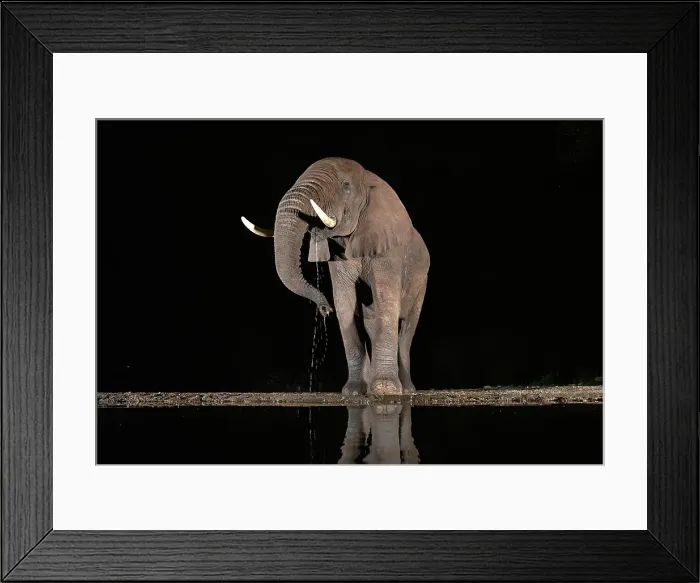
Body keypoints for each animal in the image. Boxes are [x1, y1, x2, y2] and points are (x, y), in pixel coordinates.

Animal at [241, 157, 429, 396]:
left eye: (346, 186)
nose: (324, 309)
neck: (370, 179)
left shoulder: (389, 249)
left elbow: (386, 300)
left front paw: (384, 390)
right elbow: (344, 301)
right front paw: (353, 392)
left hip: (422, 281)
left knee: (406, 328)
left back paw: (407, 390)